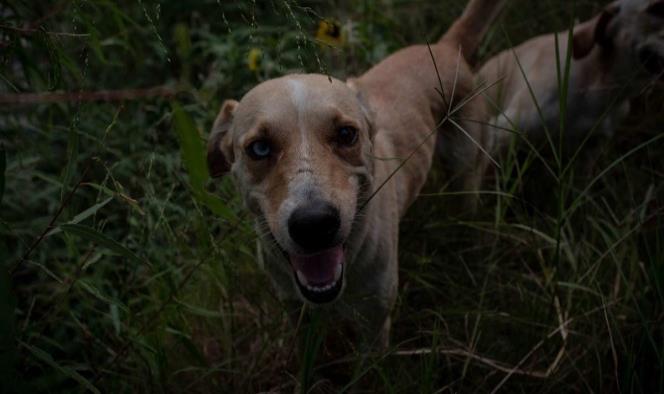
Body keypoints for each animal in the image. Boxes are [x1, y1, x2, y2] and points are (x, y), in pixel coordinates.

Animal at [208, 0, 504, 350]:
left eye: (347, 134)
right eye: (260, 148)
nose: (314, 225)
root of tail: (446, 47)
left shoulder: (374, 322)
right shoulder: (295, 311)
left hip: (465, 169)